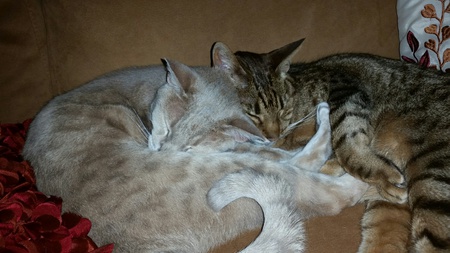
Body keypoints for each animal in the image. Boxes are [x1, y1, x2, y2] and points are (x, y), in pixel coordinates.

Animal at [22, 51, 370, 251]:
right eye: (164, 127)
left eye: (189, 144)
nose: (163, 151)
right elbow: (281, 153)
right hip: (222, 173)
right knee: (322, 185)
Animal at [216, 39, 448, 253]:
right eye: (253, 114)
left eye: (283, 109)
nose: (274, 135)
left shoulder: (344, 89)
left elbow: (344, 142)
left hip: (432, 180)